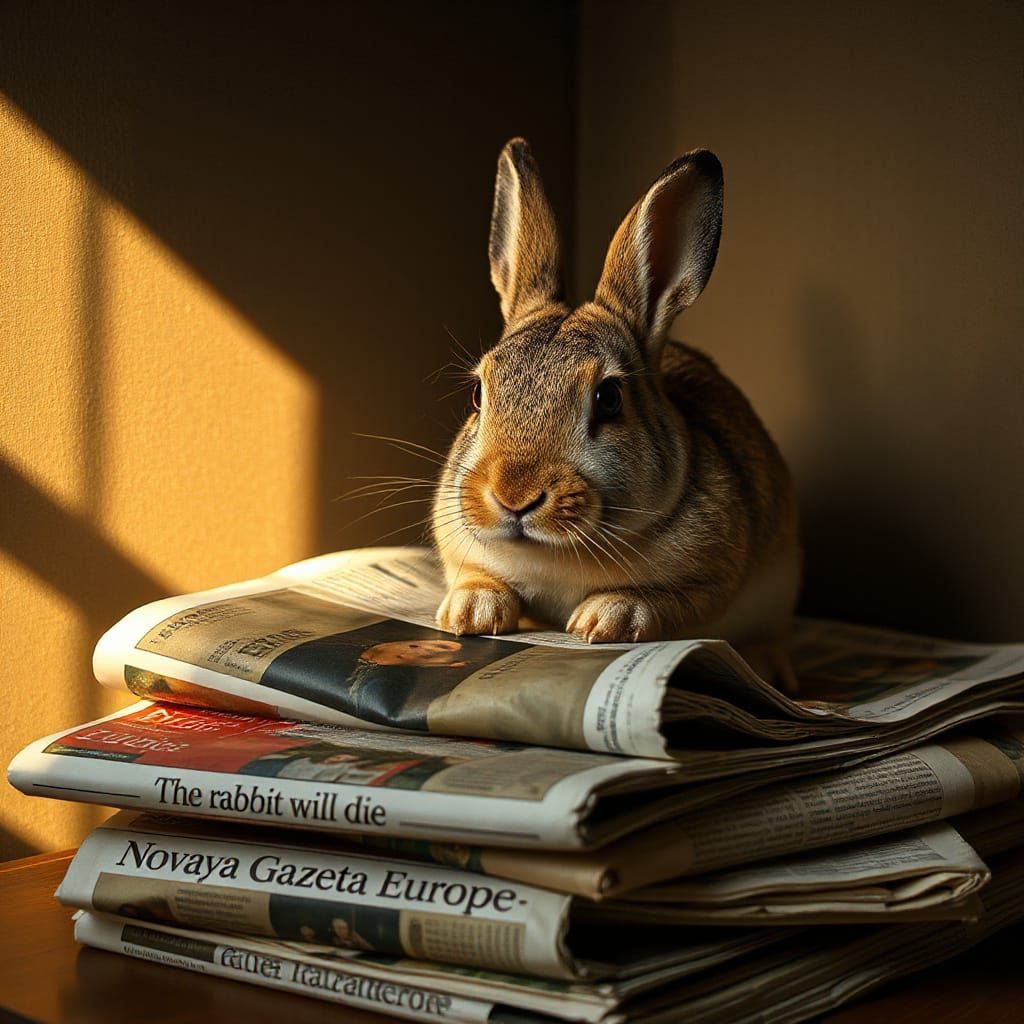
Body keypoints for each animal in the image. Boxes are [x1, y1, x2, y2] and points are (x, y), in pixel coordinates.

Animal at [431, 138, 801, 688]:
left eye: (609, 399)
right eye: (479, 393)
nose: (513, 497)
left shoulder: (711, 577)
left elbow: (665, 600)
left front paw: (603, 620)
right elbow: (478, 576)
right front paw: (468, 613)